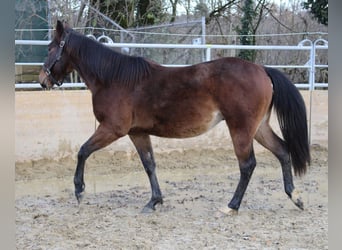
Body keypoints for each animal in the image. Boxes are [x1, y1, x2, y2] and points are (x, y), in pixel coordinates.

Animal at [39, 20, 310, 214]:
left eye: (51, 48)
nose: (43, 81)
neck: (115, 79)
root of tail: (262, 70)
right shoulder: (137, 132)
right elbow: (149, 165)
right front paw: (154, 201)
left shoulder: (112, 129)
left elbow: (83, 151)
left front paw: (79, 190)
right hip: (259, 127)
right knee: (282, 151)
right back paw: (295, 197)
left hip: (241, 129)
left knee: (247, 165)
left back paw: (231, 206)